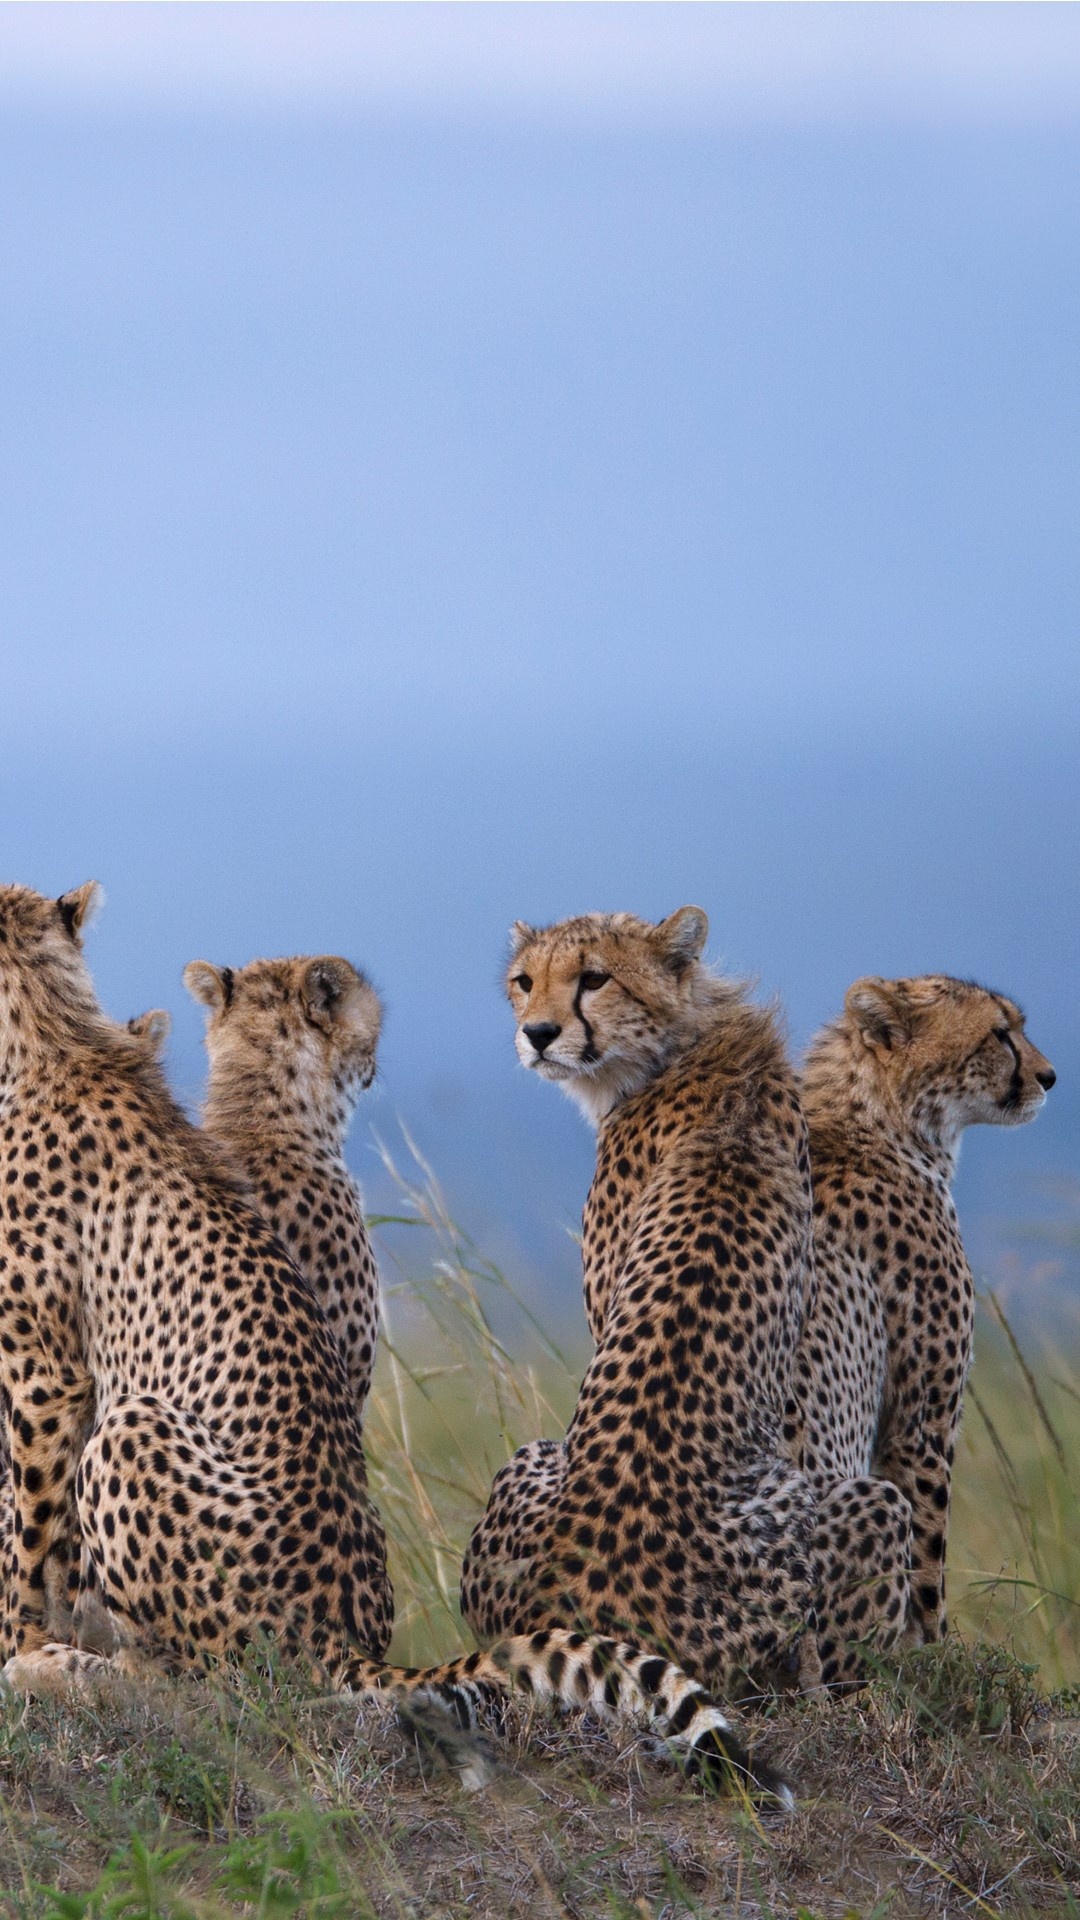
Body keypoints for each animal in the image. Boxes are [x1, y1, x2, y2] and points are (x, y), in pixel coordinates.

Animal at [780, 975, 1053, 1681]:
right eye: (999, 1034)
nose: (1050, 1076)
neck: (879, 1122)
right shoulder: (923, 1420)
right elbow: (930, 1553)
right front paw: (935, 1650)